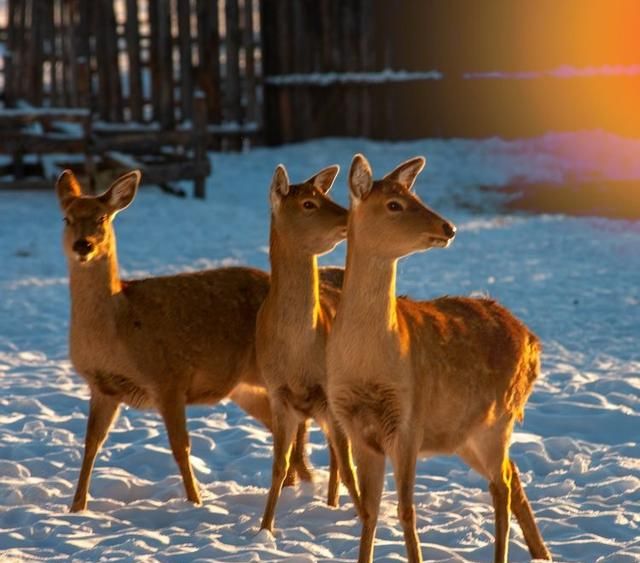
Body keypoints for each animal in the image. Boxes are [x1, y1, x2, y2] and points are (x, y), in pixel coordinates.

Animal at [55, 170, 318, 512]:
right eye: (67, 218)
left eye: (101, 217)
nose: (83, 245)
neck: (118, 326)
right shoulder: (102, 387)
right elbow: (90, 444)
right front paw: (76, 508)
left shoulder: (168, 377)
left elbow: (181, 447)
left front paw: (196, 500)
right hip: (244, 387)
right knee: (283, 428)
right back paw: (294, 486)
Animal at [258, 163, 362, 532]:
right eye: (307, 203)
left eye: (325, 195)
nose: (350, 216)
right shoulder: (277, 394)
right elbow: (279, 466)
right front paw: (264, 529)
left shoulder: (330, 394)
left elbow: (348, 467)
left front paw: (364, 519)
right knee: (334, 456)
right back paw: (330, 504)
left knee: (343, 458)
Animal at [324, 154, 552, 563]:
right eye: (394, 204)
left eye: (415, 195)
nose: (449, 227)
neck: (367, 363)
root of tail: (533, 341)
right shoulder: (356, 427)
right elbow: (369, 511)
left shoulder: (409, 421)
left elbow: (406, 510)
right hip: (466, 434)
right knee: (513, 474)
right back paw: (543, 553)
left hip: (499, 418)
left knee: (501, 485)